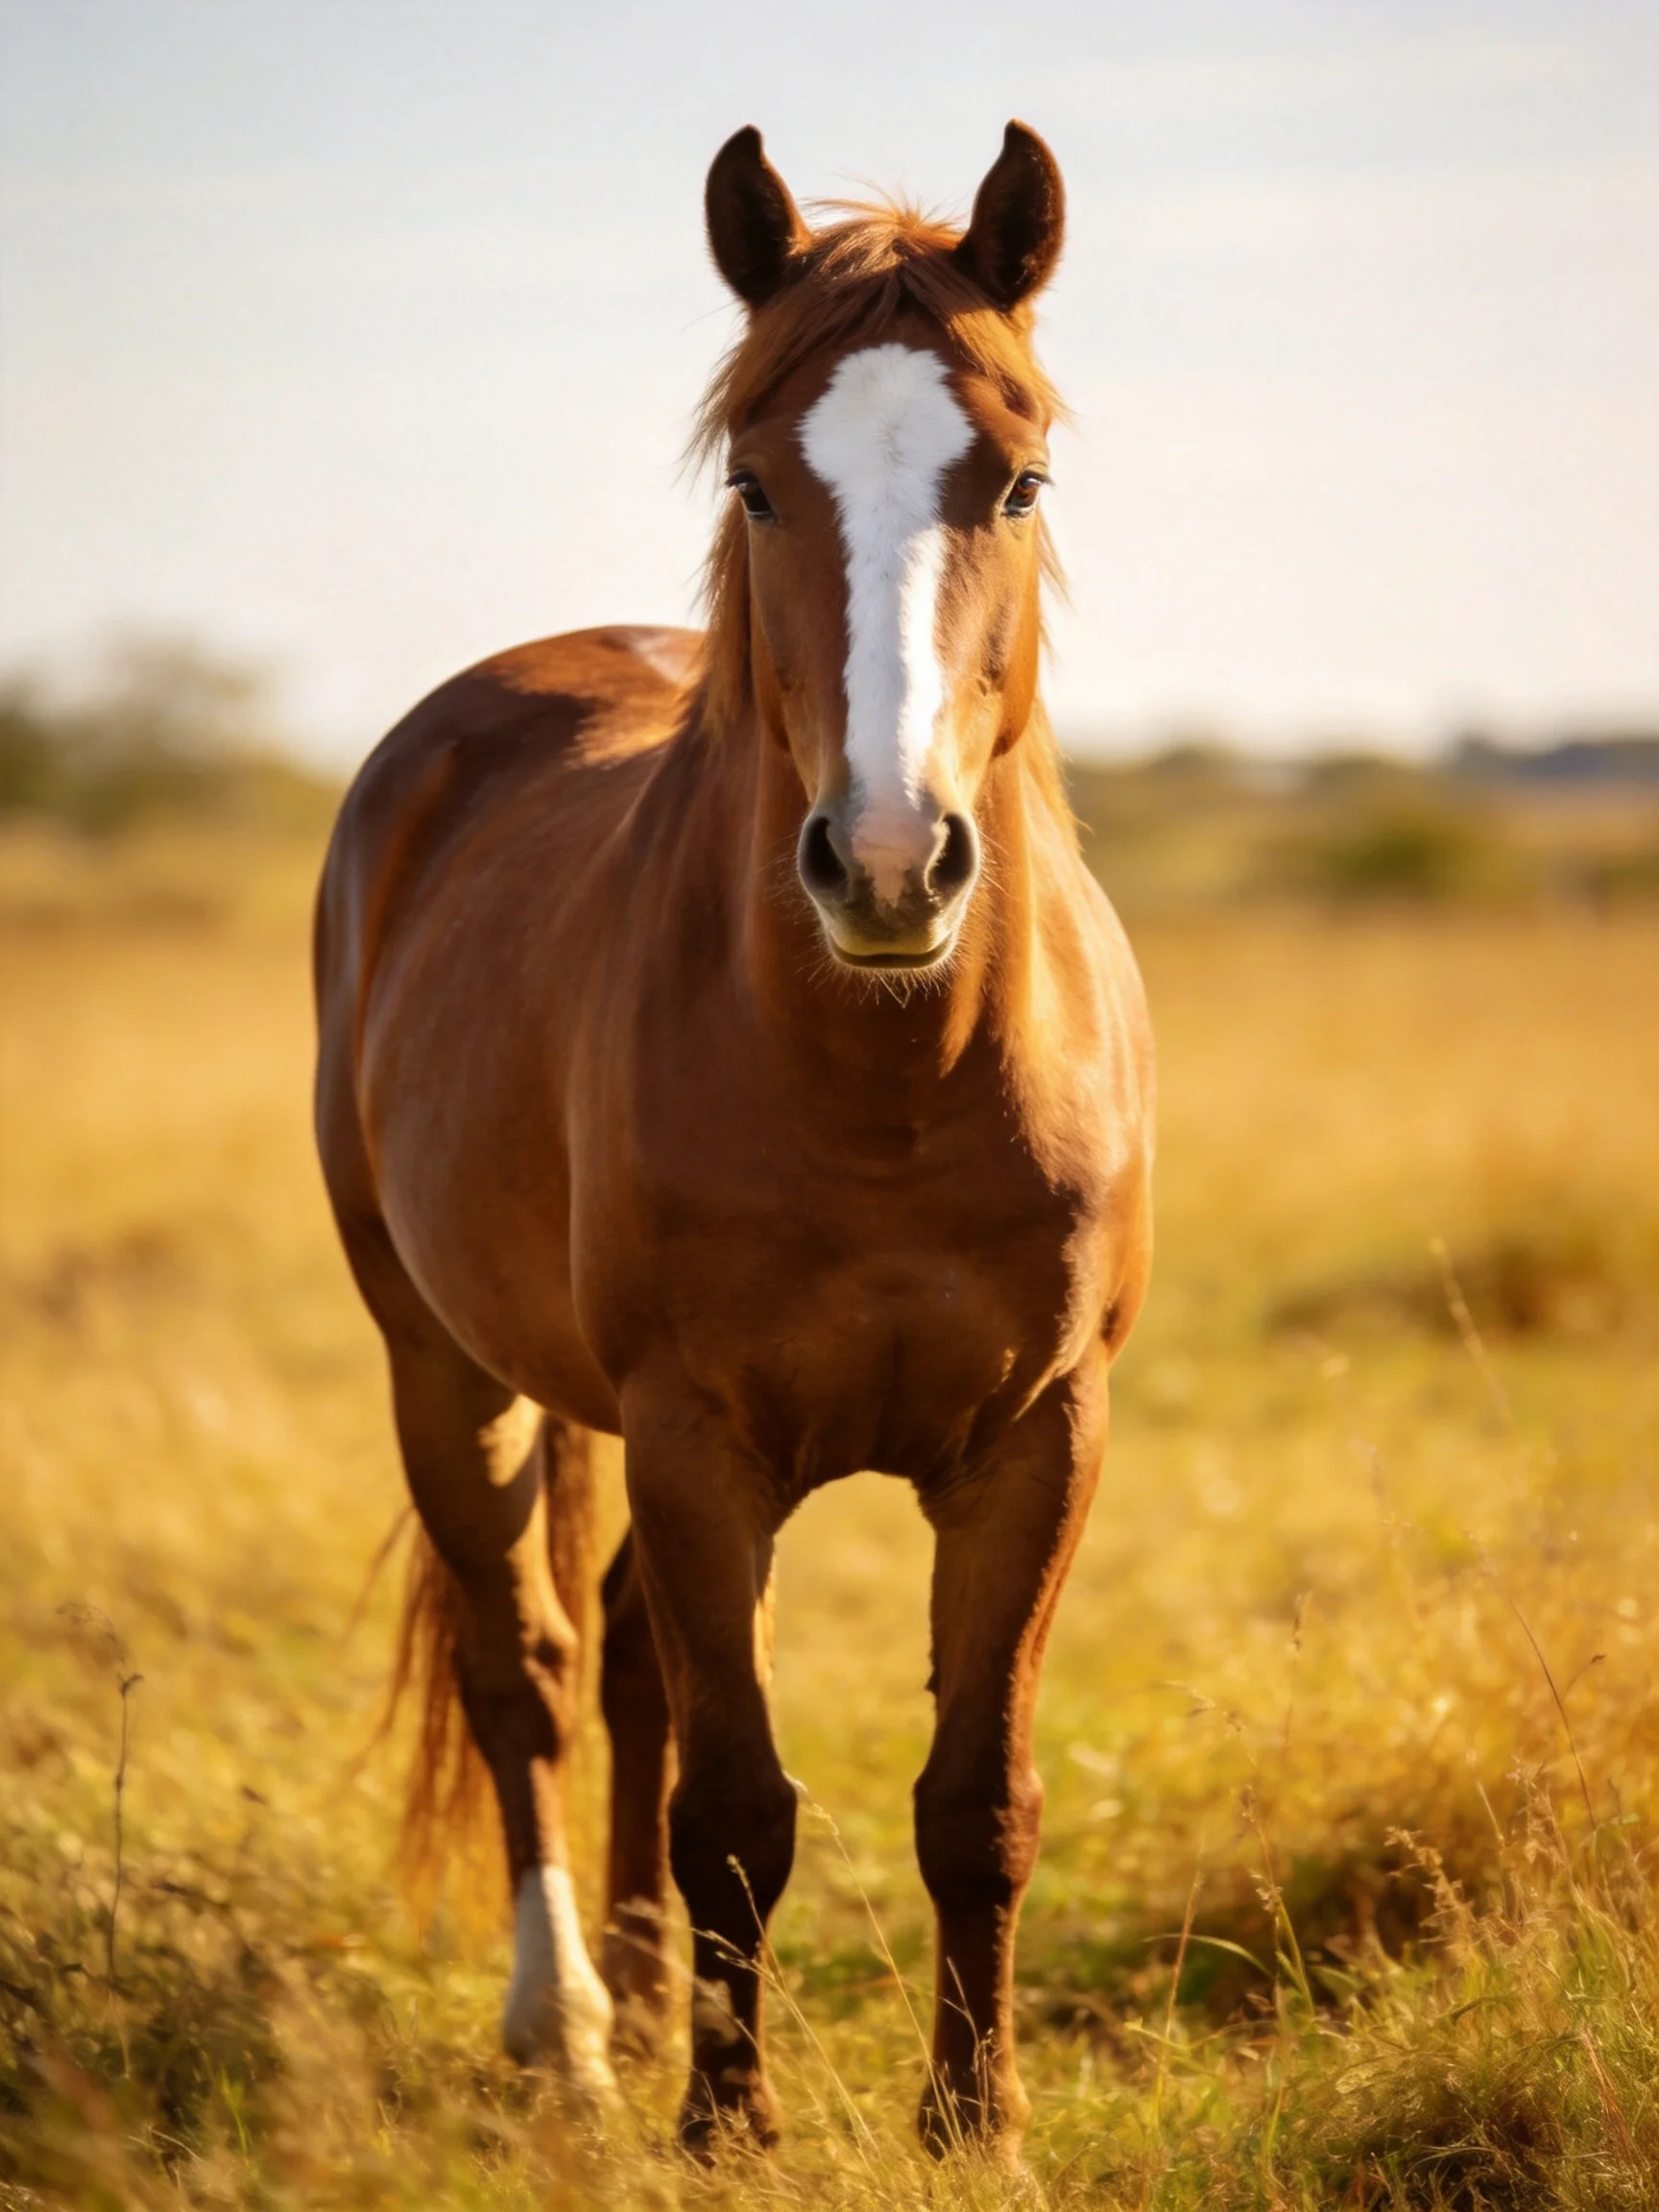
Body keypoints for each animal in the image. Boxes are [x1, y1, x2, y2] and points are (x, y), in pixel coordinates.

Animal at [313, 119, 1154, 2160]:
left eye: (1017, 474)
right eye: (760, 485)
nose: (887, 861)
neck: (887, 1087)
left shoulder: (1041, 1435)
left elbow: (974, 1792)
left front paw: (974, 2120)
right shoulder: (699, 1431)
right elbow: (739, 1801)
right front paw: (722, 2120)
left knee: (623, 1655)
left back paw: (624, 1987)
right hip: (441, 1362)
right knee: (530, 1665)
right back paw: (566, 2026)